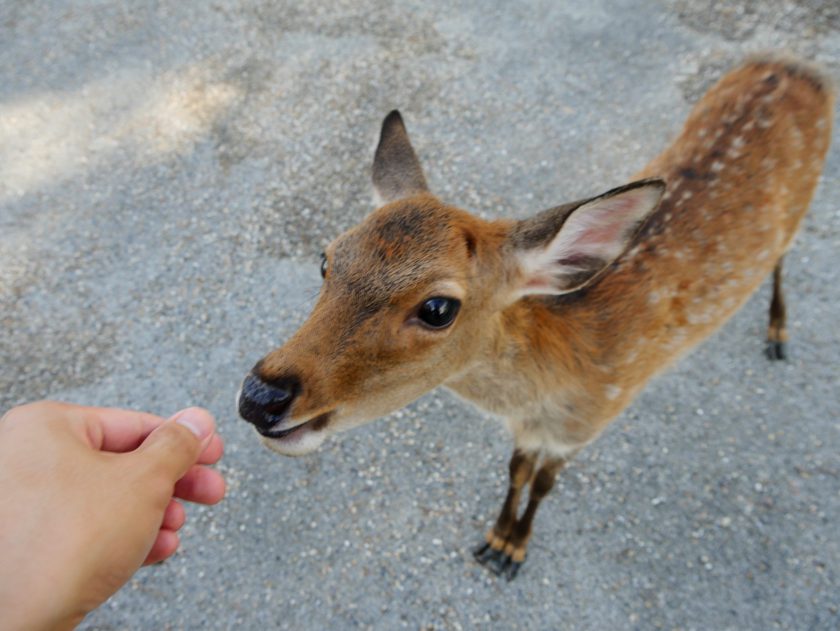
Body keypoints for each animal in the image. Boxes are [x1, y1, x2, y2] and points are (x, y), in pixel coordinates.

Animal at [238, 56, 832, 580]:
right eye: (326, 259)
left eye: (437, 308)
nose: (260, 397)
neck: (556, 379)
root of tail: (798, 67)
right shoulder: (530, 429)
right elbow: (516, 468)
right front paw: (496, 538)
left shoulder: (589, 421)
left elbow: (545, 482)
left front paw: (513, 549)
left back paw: (777, 333)